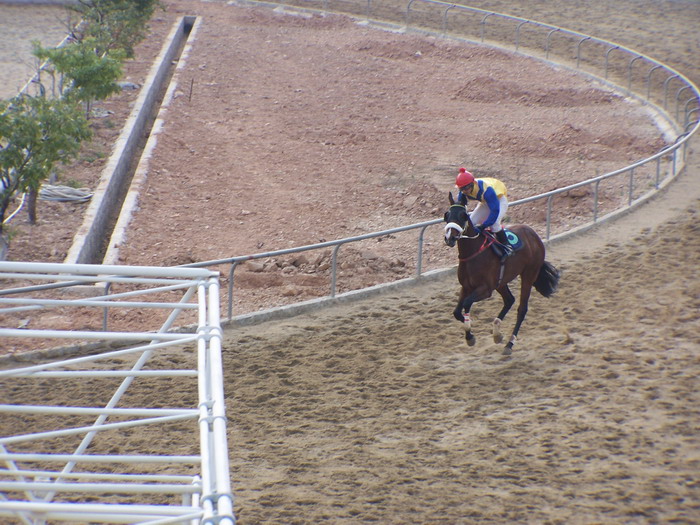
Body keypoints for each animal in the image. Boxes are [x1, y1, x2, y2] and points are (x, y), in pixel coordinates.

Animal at [442, 192, 564, 356]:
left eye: (463, 216)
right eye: (447, 215)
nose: (450, 238)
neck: (473, 253)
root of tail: (534, 236)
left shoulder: (486, 289)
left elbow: (467, 303)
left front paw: (470, 335)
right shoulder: (466, 287)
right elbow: (457, 312)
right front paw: (471, 333)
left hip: (529, 274)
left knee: (522, 309)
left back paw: (509, 343)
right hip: (501, 282)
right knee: (509, 300)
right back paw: (497, 333)